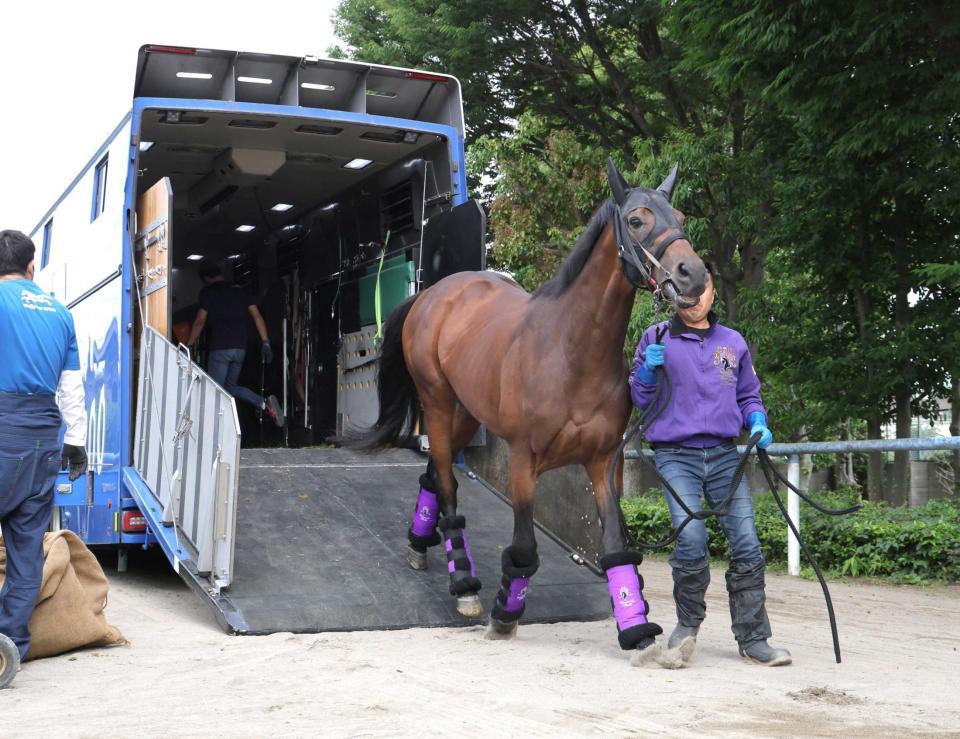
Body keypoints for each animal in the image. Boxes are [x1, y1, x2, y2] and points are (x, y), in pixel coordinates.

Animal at [352, 159, 704, 660]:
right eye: (637, 220)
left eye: (680, 216)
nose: (694, 275)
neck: (572, 352)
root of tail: (433, 294)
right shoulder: (523, 461)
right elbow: (524, 548)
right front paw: (505, 614)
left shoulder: (604, 464)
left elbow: (615, 546)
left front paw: (635, 626)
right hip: (437, 403)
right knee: (447, 482)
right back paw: (463, 583)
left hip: (467, 414)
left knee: (435, 472)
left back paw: (420, 545)